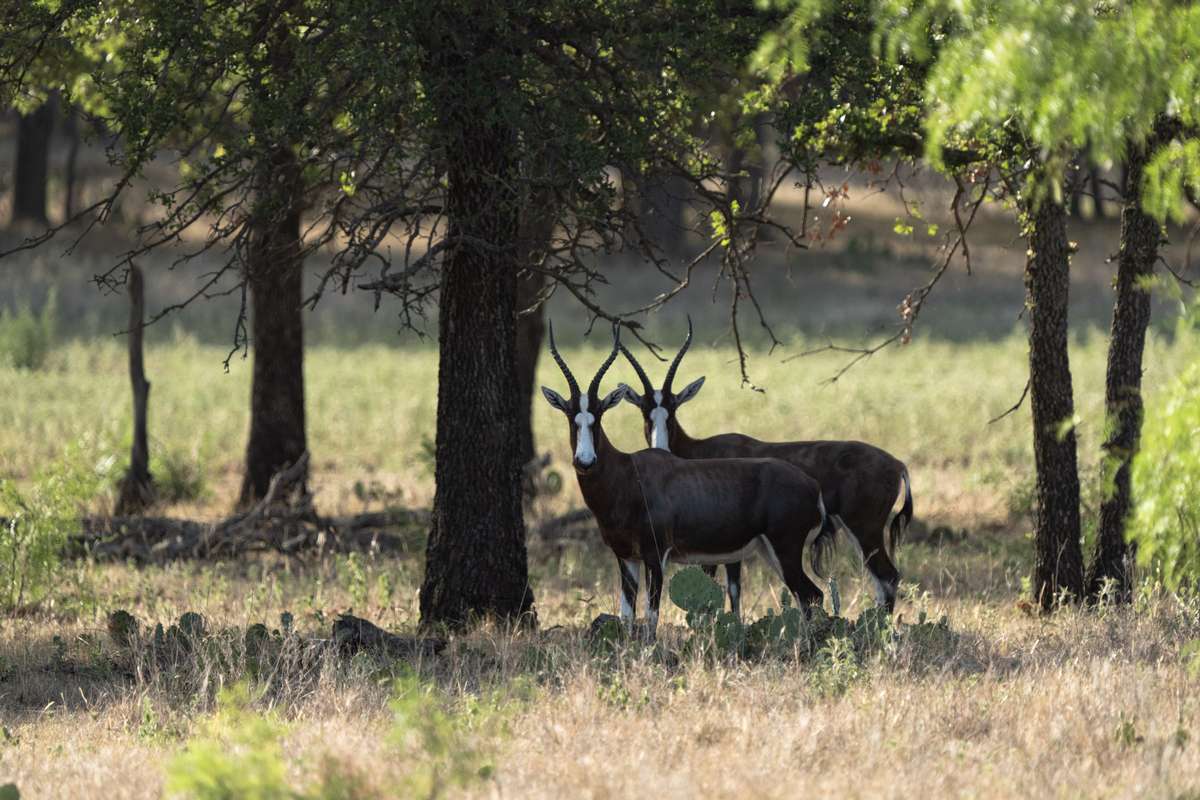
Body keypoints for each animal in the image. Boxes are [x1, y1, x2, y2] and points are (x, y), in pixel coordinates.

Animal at [540, 321, 840, 642]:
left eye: (598, 416)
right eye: (571, 416)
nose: (585, 462)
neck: (628, 474)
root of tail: (813, 487)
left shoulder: (655, 556)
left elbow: (652, 617)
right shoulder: (626, 558)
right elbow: (627, 617)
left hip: (785, 551)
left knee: (812, 595)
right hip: (770, 552)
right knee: (809, 597)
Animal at [624, 319, 912, 614]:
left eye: (672, 409)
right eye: (645, 411)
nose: (660, 447)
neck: (700, 448)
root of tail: (897, 464)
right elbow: (734, 591)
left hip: (865, 531)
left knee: (887, 577)